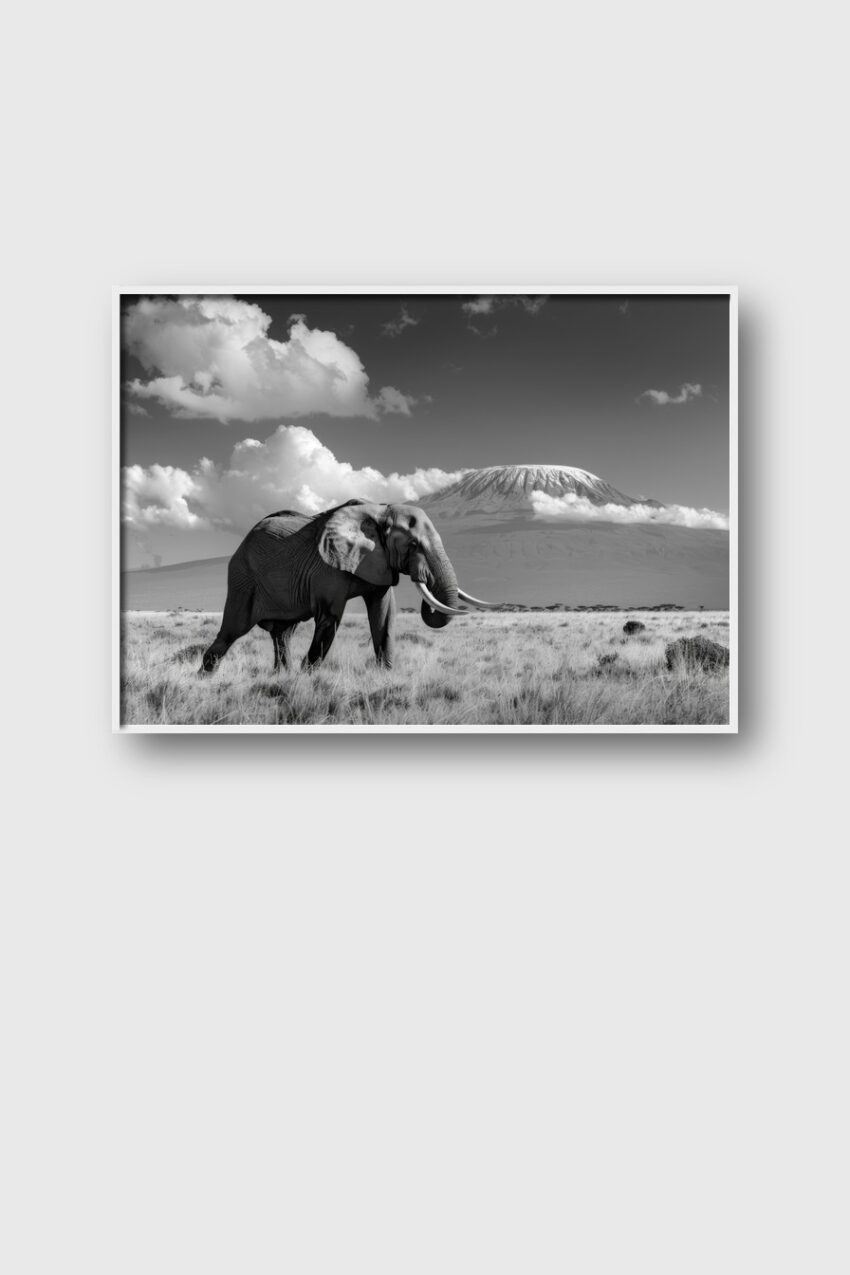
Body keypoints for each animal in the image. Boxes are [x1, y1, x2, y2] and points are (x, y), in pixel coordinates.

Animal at [199, 499, 496, 674]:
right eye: (413, 545)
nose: (422, 576)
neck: (381, 511)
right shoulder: (327, 567)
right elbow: (330, 617)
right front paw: (308, 678)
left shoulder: (379, 562)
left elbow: (384, 615)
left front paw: (385, 675)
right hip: (242, 577)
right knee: (232, 630)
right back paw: (206, 677)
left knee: (282, 634)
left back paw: (282, 676)